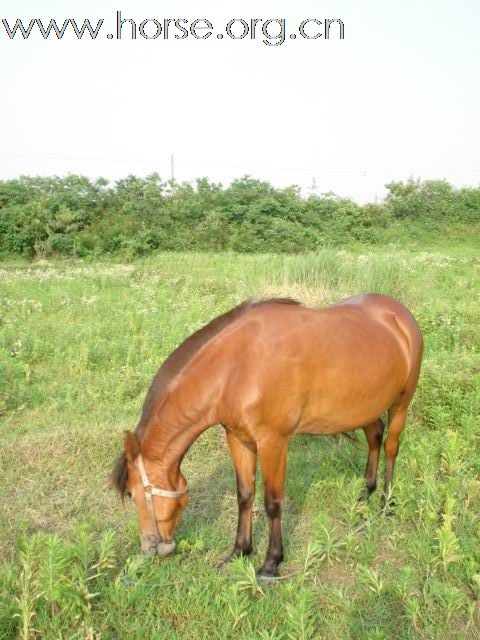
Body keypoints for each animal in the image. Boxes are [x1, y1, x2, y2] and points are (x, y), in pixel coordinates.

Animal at [112, 296, 424, 580]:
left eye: (132, 493)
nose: (150, 548)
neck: (236, 368)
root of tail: (399, 314)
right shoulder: (238, 439)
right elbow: (245, 495)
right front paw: (239, 551)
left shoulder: (274, 443)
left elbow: (272, 502)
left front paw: (271, 563)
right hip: (364, 407)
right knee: (375, 437)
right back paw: (365, 492)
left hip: (401, 403)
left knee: (391, 446)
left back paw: (386, 502)